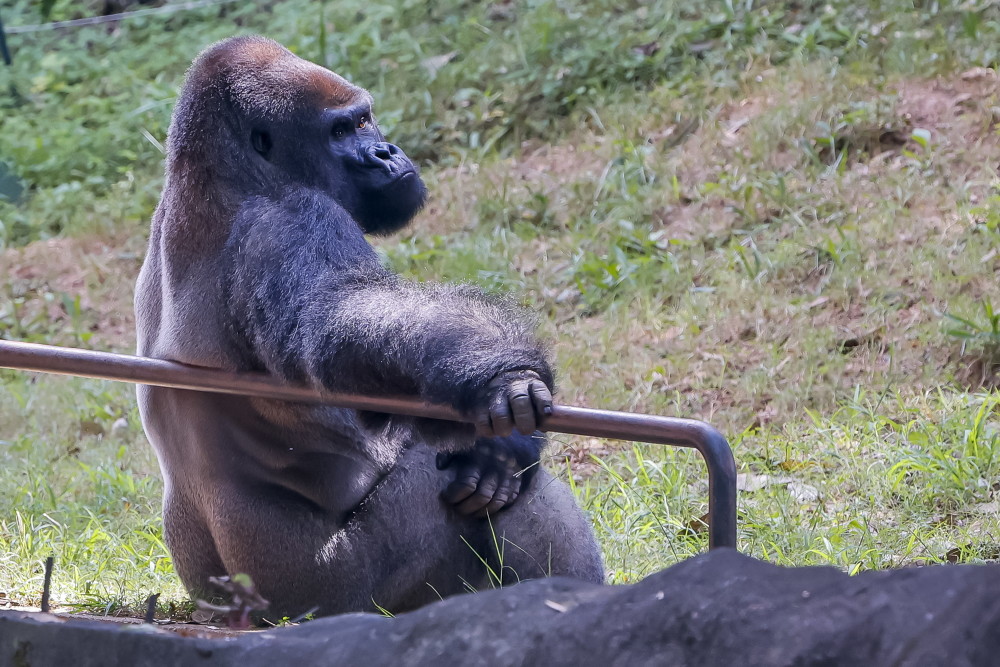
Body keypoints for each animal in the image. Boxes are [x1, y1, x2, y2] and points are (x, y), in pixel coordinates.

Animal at [133, 35, 600, 620]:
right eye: (340, 131)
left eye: (363, 120)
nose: (386, 152)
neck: (220, 176)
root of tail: (230, 614)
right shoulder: (295, 219)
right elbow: (339, 322)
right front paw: (503, 385)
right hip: (332, 598)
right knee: (508, 498)